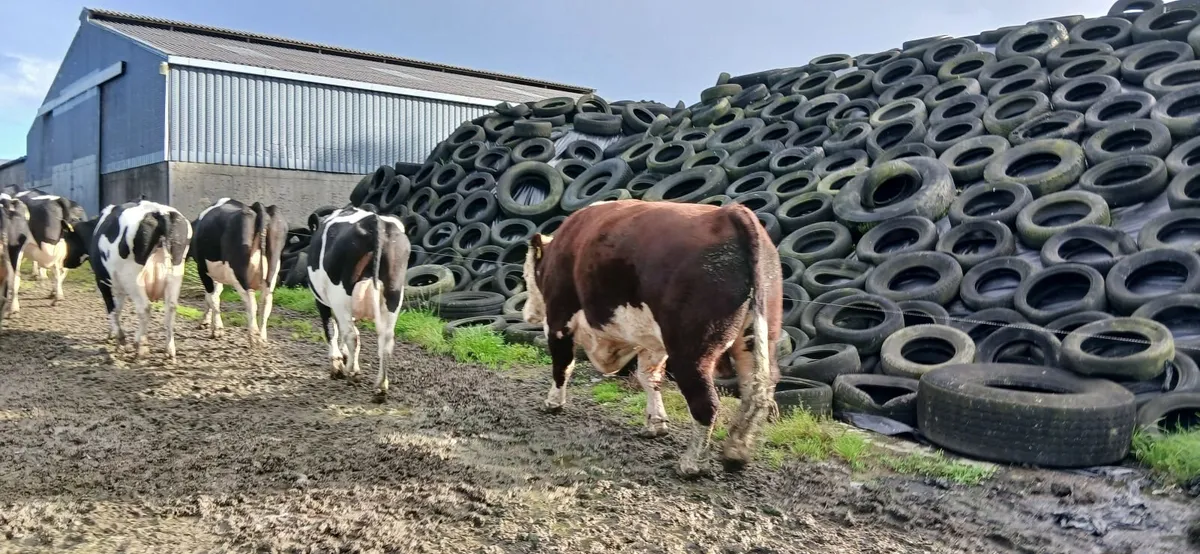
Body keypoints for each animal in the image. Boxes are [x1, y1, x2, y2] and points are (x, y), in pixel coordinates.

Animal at [61, 200, 192, 361]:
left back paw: (140, 345)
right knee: (171, 307)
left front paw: (120, 339)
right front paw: (113, 334)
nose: (64, 262)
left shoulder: (103, 281)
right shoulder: (119, 286)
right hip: (176, 273)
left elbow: (111, 309)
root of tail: (158, 212)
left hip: (133, 278)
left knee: (144, 308)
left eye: (66, 237)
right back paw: (169, 349)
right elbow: (117, 309)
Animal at [190, 197, 288, 345]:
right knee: (266, 302)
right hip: (272, 270)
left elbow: (212, 297)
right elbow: (215, 294)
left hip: (239, 273)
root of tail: (257, 207)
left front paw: (217, 329)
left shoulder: (202, 268)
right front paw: (207, 323)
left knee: (251, 303)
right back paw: (262, 337)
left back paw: (253, 337)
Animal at [305, 205, 409, 402]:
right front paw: (345, 356)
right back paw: (380, 387)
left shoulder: (321, 301)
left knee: (351, 334)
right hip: (394, 292)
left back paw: (352, 373)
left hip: (339, 293)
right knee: (386, 339)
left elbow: (330, 329)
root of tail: (375, 220)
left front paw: (337, 365)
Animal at [521, 199, 783, 477]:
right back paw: (736, 453)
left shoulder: (559, 321)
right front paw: (656, 424)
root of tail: (730, 212)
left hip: (692, 350)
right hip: (757, 335)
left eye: (526, 276)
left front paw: (553, 403)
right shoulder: (651, 342)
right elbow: (649, 378)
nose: (527, 313)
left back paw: (692, 464)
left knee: (707, 402)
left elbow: (562, 366)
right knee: (757, 391)